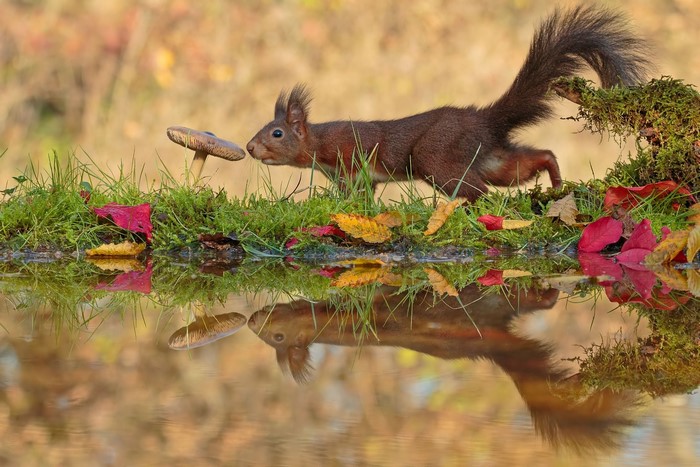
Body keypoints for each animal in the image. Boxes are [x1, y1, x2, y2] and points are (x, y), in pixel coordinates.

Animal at [246, 6, 651, 202]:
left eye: (277, 133)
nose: (250, 148)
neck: (320, 144)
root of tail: (484, 120)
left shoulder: (351, 158)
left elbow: (353, 196)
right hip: (490, 158)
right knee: (531, 160)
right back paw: (556, 182)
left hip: (437, 157)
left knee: (480, 192)